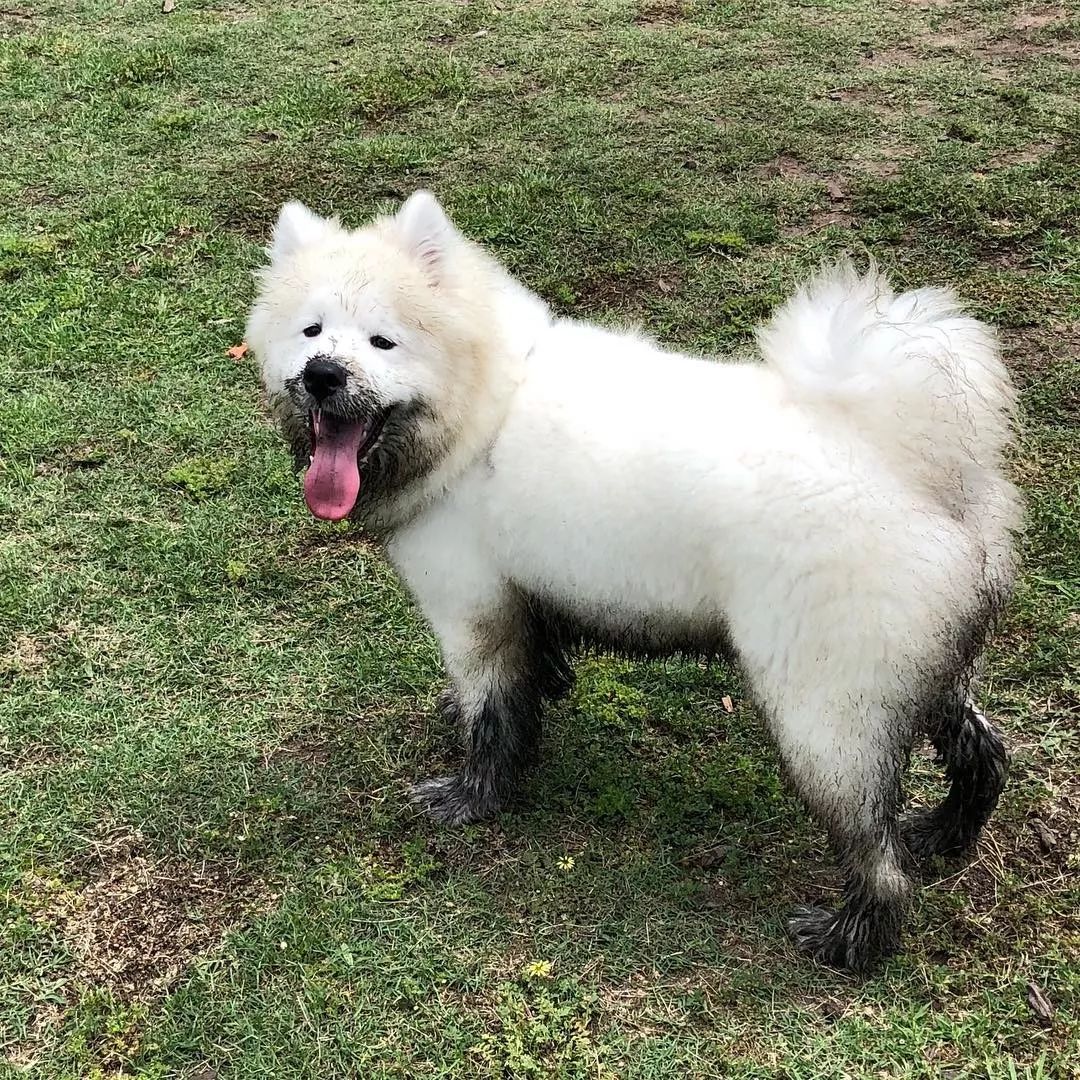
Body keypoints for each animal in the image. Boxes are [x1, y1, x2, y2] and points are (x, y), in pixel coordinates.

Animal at [245, 190, 1019, 976]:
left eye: (383, 342)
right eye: (312, 330)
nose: (323, 374)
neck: (484, 406)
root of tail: (912, 462)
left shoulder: (472, 613)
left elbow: (494, 717)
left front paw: (473, 798)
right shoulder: (523, 599)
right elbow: (532, 676)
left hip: (824, 717)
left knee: (877, 855)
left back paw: (849, 939)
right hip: (923, 670)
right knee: (982, 753)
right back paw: (943, 834)